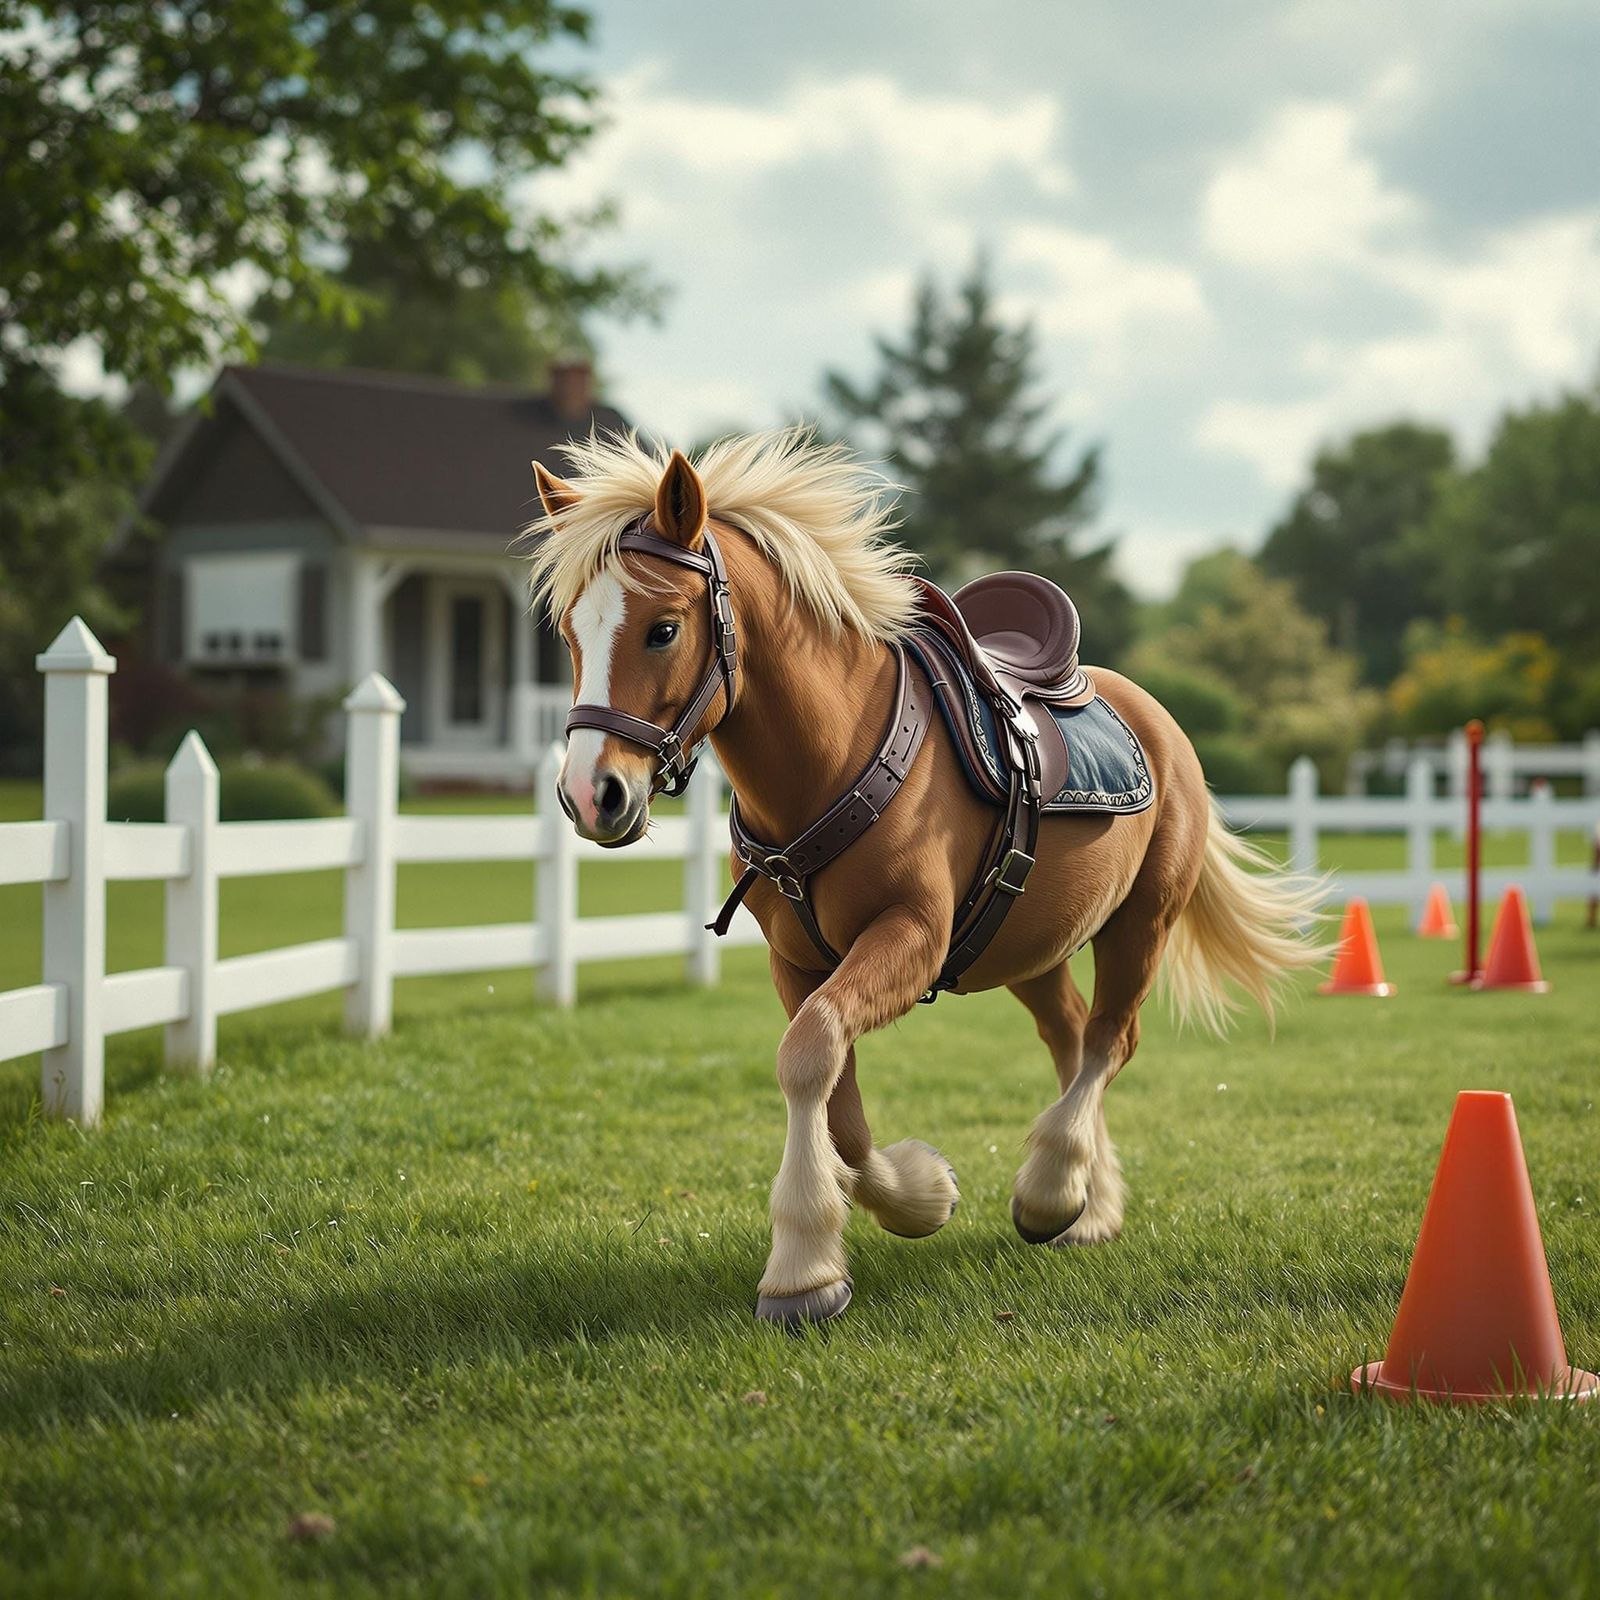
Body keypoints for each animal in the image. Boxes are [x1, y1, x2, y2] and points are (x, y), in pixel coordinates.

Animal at [524, 428, 1322, 1326]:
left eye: (662, 629)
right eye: (569, 633)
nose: (591, 793)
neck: (831, 756)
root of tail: (1157, 719)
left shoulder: (911, 937)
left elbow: (809, 1054)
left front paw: (803, 1266)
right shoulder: (798, 962)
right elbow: (835, 1101)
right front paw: (920, 1196)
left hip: (1139, 923)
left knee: (1110, 1040)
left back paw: (1052, 1189)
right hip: (1031, 945)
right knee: (1070, 1038)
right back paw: (1092, 1203)